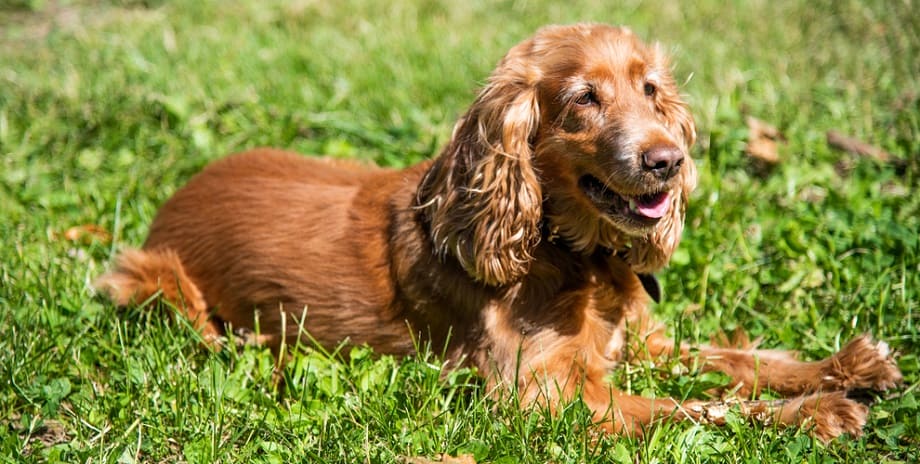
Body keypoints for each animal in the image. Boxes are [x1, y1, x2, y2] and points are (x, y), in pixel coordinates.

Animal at [97, 23, 904, 440]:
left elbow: (738, 358)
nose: (668, 162)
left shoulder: (639, 343)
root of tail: (179, 194)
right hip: (151, 278)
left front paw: (850, 365)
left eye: (651, 91)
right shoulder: (543, 396)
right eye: (583, 98)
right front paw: (818, 413)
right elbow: (694, 405)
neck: (564, 252)